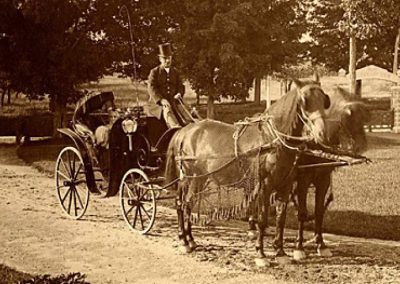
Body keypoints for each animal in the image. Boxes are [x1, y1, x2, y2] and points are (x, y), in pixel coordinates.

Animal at [164, 77, 330, 264]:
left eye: (324, 99)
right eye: (304, 100)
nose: (322, 133)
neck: (272, 139)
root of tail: (185, 130)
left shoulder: (285, 186)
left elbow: (281, 218)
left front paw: (280, 252)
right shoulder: (264, 186)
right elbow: (262, 220)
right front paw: (261, 253)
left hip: (200, 179)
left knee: (187, 204)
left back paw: (189, 239)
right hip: (190, 177)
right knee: (184, 204)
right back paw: (185, 241)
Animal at [292, 86, 370, 260]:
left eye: (363, 121)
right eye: (351, 121)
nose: (361, 146)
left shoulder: (324, 180)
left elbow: (319, 211)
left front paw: (321, 244)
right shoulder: (302, 179)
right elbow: (302, 212)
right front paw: (299, 247)